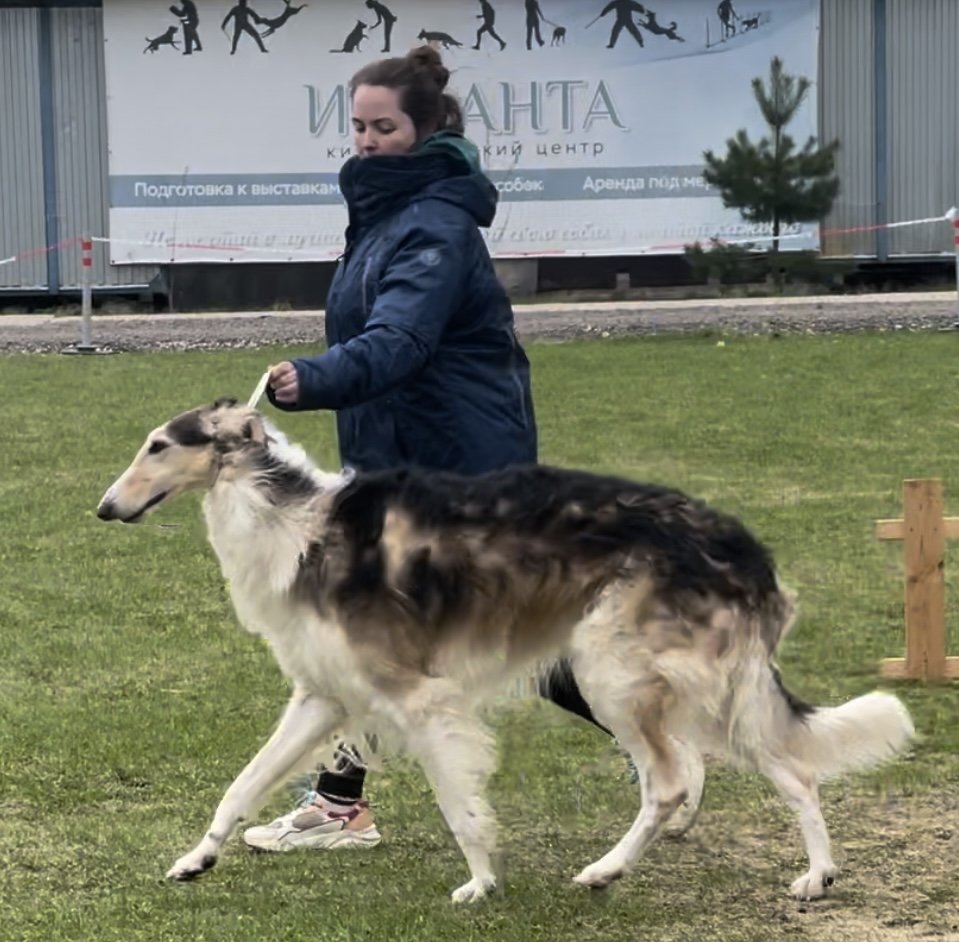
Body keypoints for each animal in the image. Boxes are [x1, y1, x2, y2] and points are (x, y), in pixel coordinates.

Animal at [97, 400, 916, 908]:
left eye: (159, 446)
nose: (104, 508)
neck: (297, 527)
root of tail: (746, 551)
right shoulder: (324, 696)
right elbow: (240, 786)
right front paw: (196, 859)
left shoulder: (417, 699)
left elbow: (461, 809)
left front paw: (481, 884)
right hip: (691, 684)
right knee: (783, 767)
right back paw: (813, 874)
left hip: (613, 674)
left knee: (672, 781)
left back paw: (617, 868)